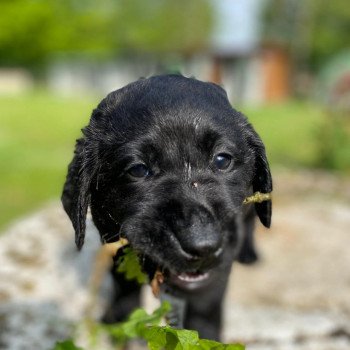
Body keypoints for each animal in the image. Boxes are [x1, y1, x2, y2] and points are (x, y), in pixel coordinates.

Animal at [61, 75, 272, 340]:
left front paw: (206, 335)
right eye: (138, 169)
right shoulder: (114, 240)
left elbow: (207, 302)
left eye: (222, 160)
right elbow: (123, 283)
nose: (203, 245)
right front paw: (119, 320)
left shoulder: (218, 268)